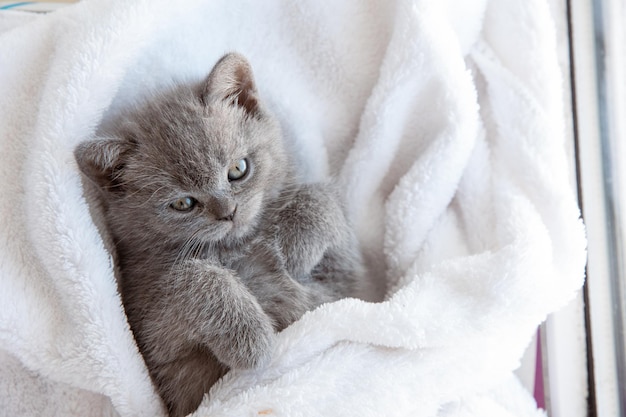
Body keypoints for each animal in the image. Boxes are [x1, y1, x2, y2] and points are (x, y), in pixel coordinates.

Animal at [74, 52, 360, 416]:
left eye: (238, 170)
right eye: (183, 203)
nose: (228, 212)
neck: (239, 245)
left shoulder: (344, 280)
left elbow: (322, 196)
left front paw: (294, 246)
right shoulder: (151, 336)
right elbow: (195, 277)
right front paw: (251, 339)